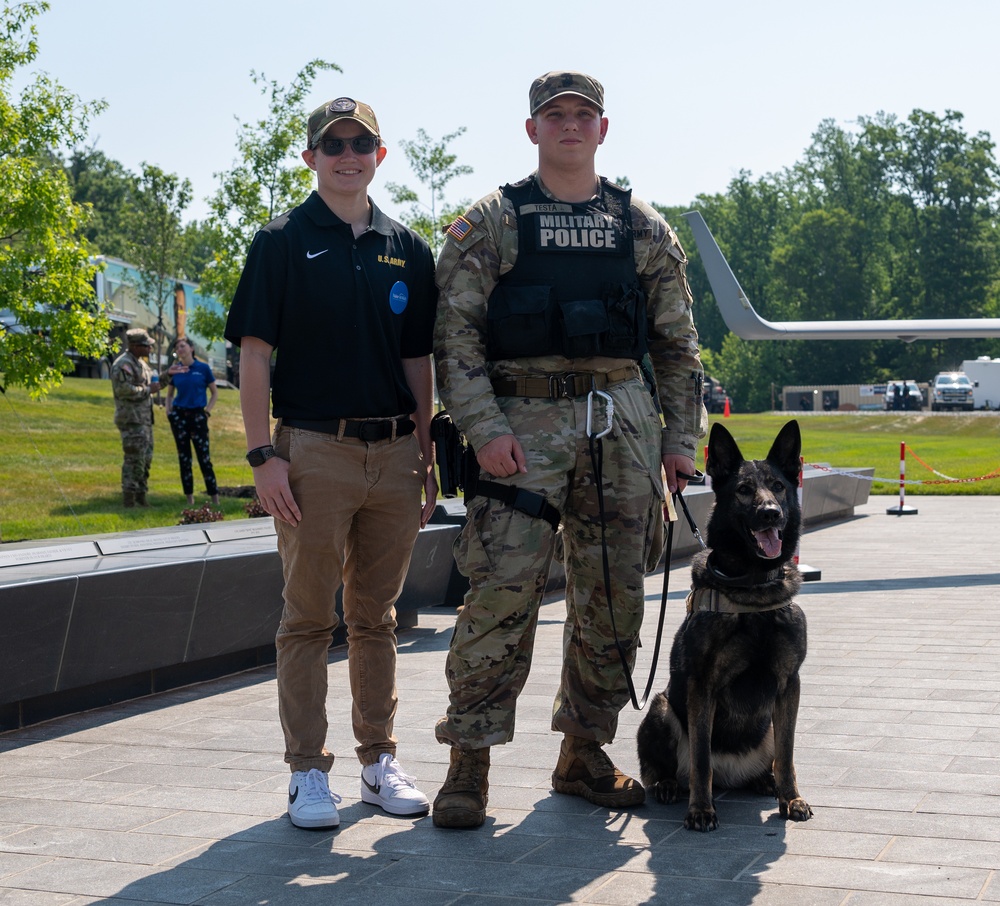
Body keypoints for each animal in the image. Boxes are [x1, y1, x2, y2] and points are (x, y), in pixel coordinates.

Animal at [640, 420, 812, 828]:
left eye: (778, 486)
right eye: (744, 490)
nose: (770, 513)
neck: (753, 589)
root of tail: (730, 776)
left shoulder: (789, 685)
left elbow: (788, 755)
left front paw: (792, 799)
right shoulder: (702, 687)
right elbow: (701, 760)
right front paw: (701, 809)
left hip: (767, 726)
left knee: (772, 761)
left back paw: (766, 782)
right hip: (661, 708)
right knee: (670, 769)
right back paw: (670, 785)